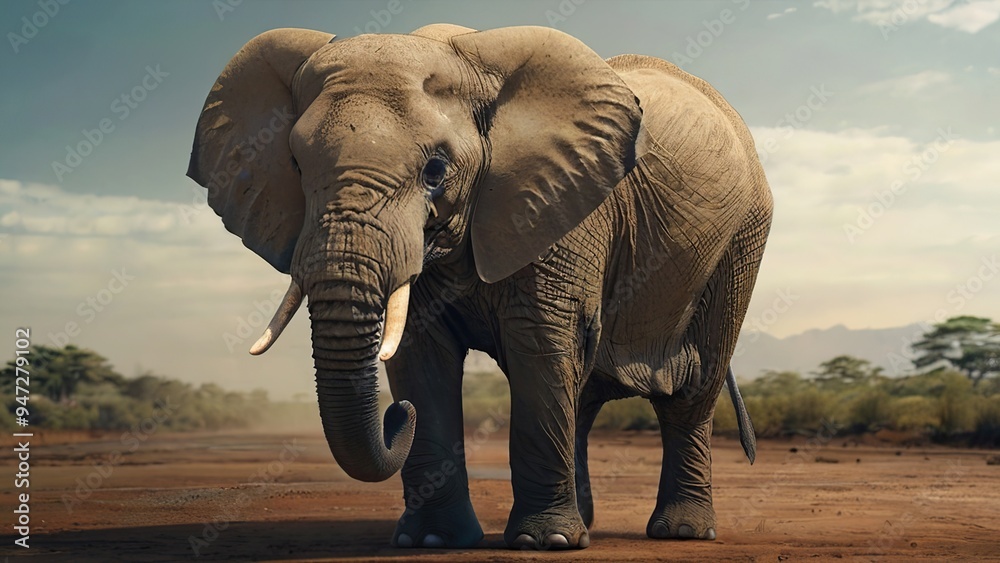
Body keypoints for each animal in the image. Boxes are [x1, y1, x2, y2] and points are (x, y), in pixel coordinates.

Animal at [187, 22, 772, 551]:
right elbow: (421, 357)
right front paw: (432, 540)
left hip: (743, 238)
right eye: (294, 164)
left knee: (692, 386)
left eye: (435, 170)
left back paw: (681, 532)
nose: (396, 416)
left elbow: (541, 344)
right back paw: (587, 524)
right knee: (583, 390)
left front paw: (544, 543)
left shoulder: (561, 208)